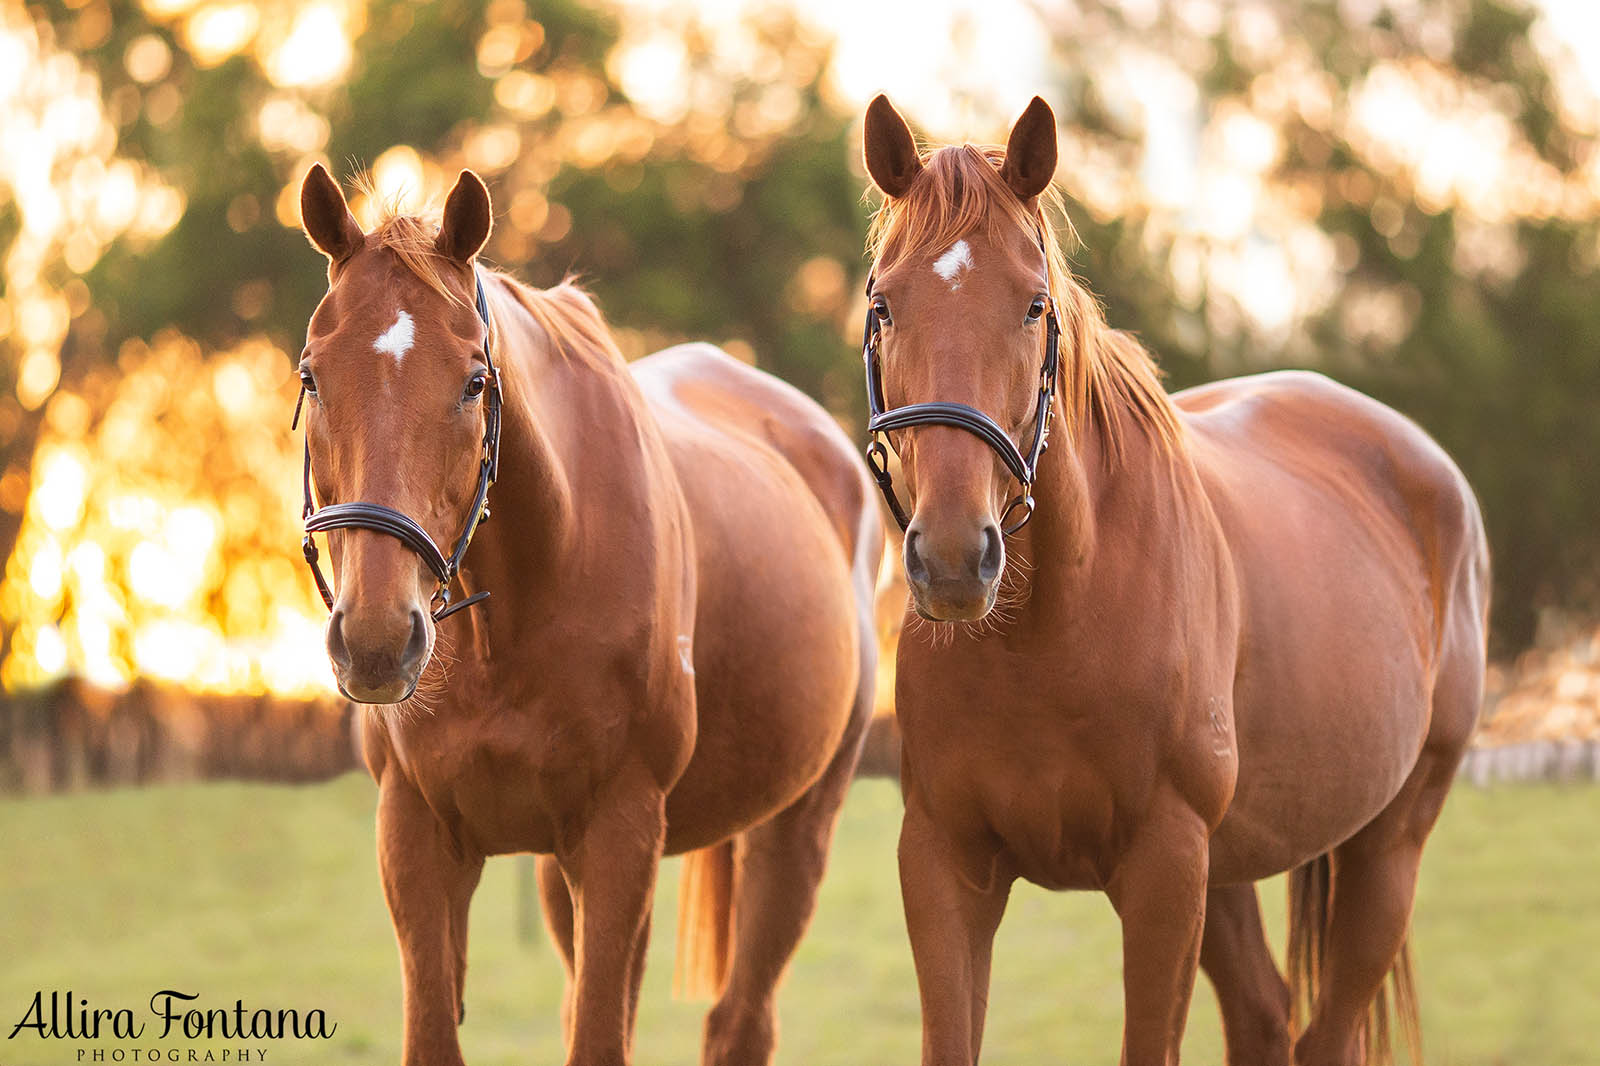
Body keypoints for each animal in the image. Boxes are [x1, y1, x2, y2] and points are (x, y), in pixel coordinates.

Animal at [294, 160, 883, 1062]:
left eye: (473, 382)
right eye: (313, 376)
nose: (377, 640)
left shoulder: (618, 836)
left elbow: (599, 1037)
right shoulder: (418, 835)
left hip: (794, 829)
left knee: (740, 1020)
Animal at [864, 95, 1484, 1056]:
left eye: (1034, 305)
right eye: (886, 304)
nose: (956, 558)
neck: (1046, 631)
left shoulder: (1164, 871)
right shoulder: (943, 862)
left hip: (1385, 853)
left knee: (1328, 1029)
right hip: (1227, 875)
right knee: (1265, 1016)